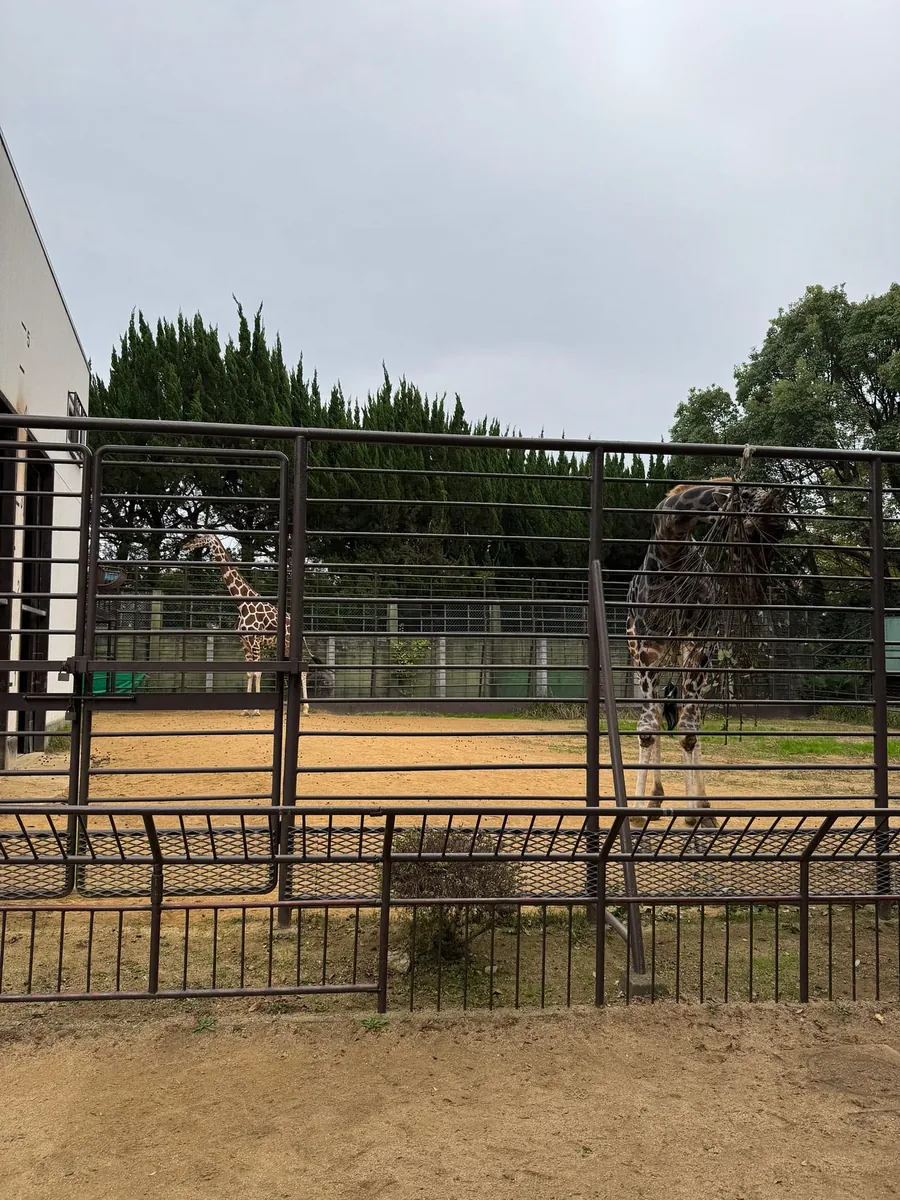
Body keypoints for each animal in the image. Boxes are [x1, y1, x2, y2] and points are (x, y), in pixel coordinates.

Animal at [182, 532, 311, 718]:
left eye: (198, 536)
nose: (185, 545)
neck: (241, 603)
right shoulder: (244, 642)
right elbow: (249, 673)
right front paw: (245, 709)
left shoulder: (255, 641)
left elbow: (257, 672)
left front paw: (256, 710)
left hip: (288, 644)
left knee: (304, 670)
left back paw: (306, 709)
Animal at [625, 478, 784, 828]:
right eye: (752, 530)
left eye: (779, 531)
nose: (758, 588)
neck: (670, 549)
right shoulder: (647, 645)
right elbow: (648, 728)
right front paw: (637, 813)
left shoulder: (698, 644)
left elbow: (689, 730)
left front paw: (696, 812)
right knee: (659, 713)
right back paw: (654, 801)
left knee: (688, 716)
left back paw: (700, 805)